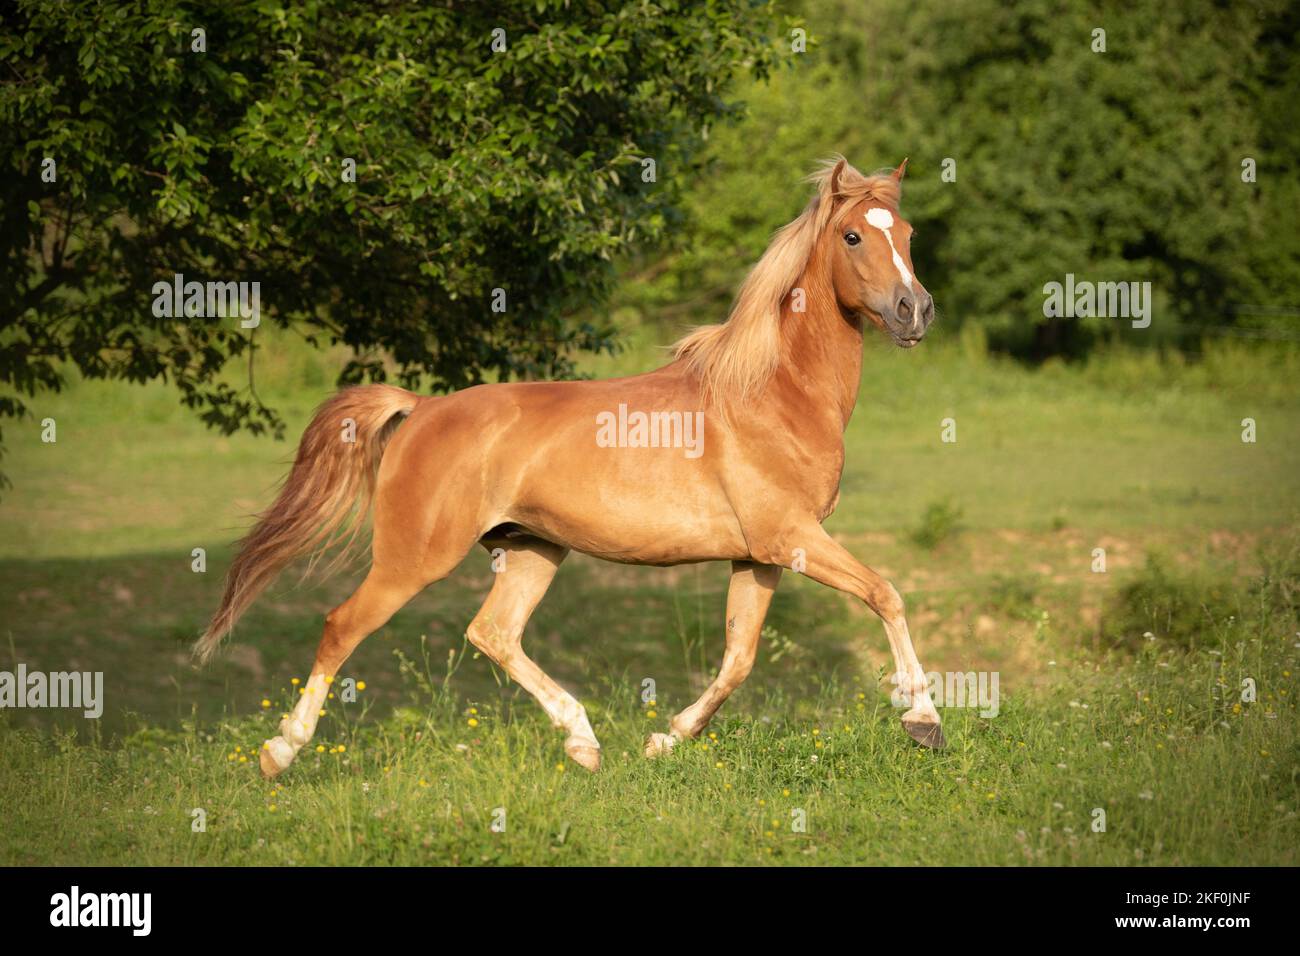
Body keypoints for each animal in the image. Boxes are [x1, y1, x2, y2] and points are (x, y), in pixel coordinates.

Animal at [195, 157, 946, 780]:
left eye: (907, 233)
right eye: (853, 236)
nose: (915, 311)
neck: (771, 392)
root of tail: (423, 408)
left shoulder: (759, 555)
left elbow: (738, 659)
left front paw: (664, 739)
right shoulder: (791, 538)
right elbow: (886, 594)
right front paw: (924, 719)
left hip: (533, 549)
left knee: (493, 633)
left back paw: (584, 743)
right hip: (415, 558)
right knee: (343, 626)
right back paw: (279, 752)